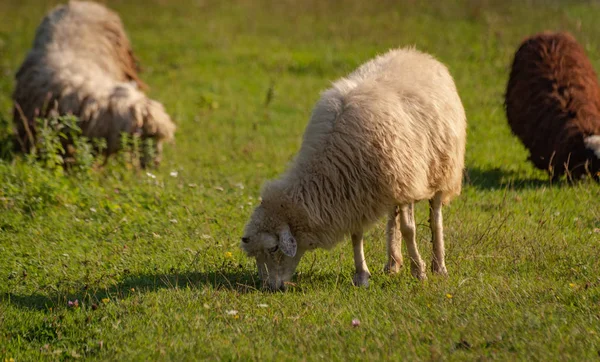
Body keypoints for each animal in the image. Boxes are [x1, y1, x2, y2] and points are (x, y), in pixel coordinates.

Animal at [241, 47, 466, 292]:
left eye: (273, 248)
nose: (269, 287)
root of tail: (417, 53)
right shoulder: (355, 192)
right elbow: (356, 235)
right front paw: (362, 275)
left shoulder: (399, 184)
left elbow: (409, 230)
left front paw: (419, 271)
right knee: (393, 219)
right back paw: (392, 264)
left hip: (440, 170)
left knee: (435, 218)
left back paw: (438, 266)